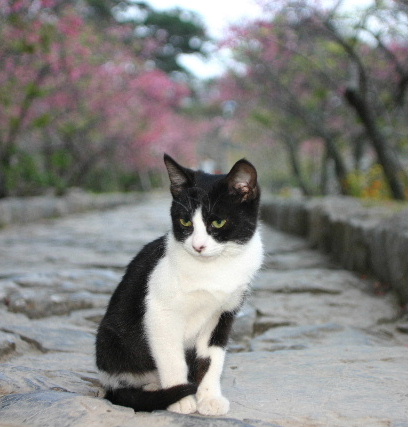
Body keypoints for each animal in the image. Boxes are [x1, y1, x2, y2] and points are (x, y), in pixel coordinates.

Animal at [95, 155, 262, 416]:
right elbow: (171, 357)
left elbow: (211, 359)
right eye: (185, 221)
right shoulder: (160, 312)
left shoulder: (224, 314)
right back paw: (154, 389)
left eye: (218, 222)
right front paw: (181, 398)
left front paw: (209, 397)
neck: (214, 268)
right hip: (110, 340)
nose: (198, 246)